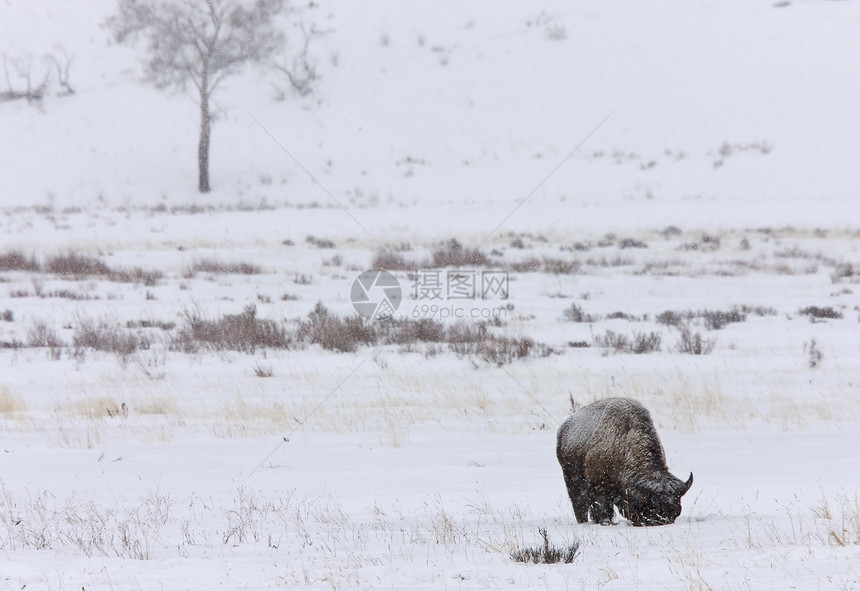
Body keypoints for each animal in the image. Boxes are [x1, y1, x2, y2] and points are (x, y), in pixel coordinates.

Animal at [556, 398, 692, 528]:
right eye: (650, 507)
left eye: (676, 511)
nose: (662, 522)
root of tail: (563, 429)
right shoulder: (600, 486)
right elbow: (603, 509)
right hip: (573, 481)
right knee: (580, 505)